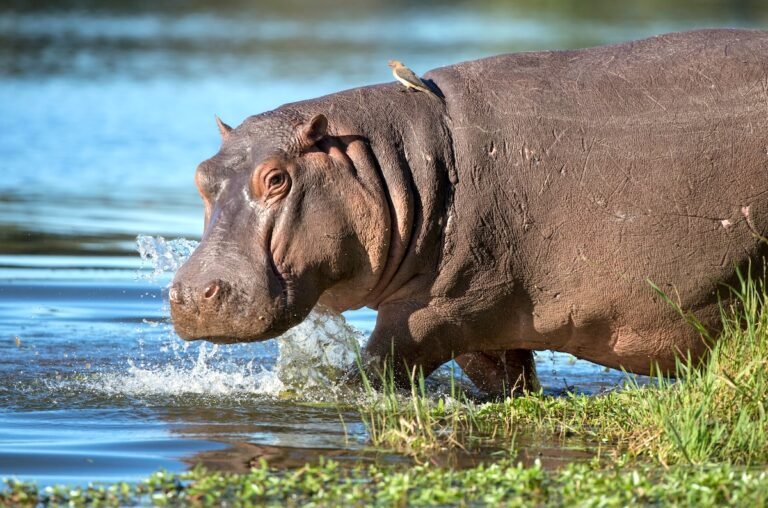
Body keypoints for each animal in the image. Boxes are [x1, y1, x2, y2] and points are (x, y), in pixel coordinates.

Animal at [170, 29, 768, 396]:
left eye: (276, 178)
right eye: (200, 175)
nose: (192, 293)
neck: (391, 161)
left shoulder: (439, 309)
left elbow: (373, 370)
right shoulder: (490, 322)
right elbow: (508, 381)